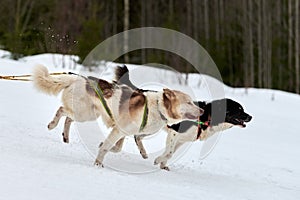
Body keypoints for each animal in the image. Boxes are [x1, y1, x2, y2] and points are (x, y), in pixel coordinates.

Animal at [32, 65, 202, 166]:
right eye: (189, 102)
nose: (201, 111)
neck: (157, 107)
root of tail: (78, 78)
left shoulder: (122, 132)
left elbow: (116, 147)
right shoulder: (119, 131)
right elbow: (107, 147)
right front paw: (98, 163)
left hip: (87, 114)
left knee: (68, 118)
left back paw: (66, 137)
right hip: (83, 113)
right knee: (62, 110)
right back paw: (52, 124)